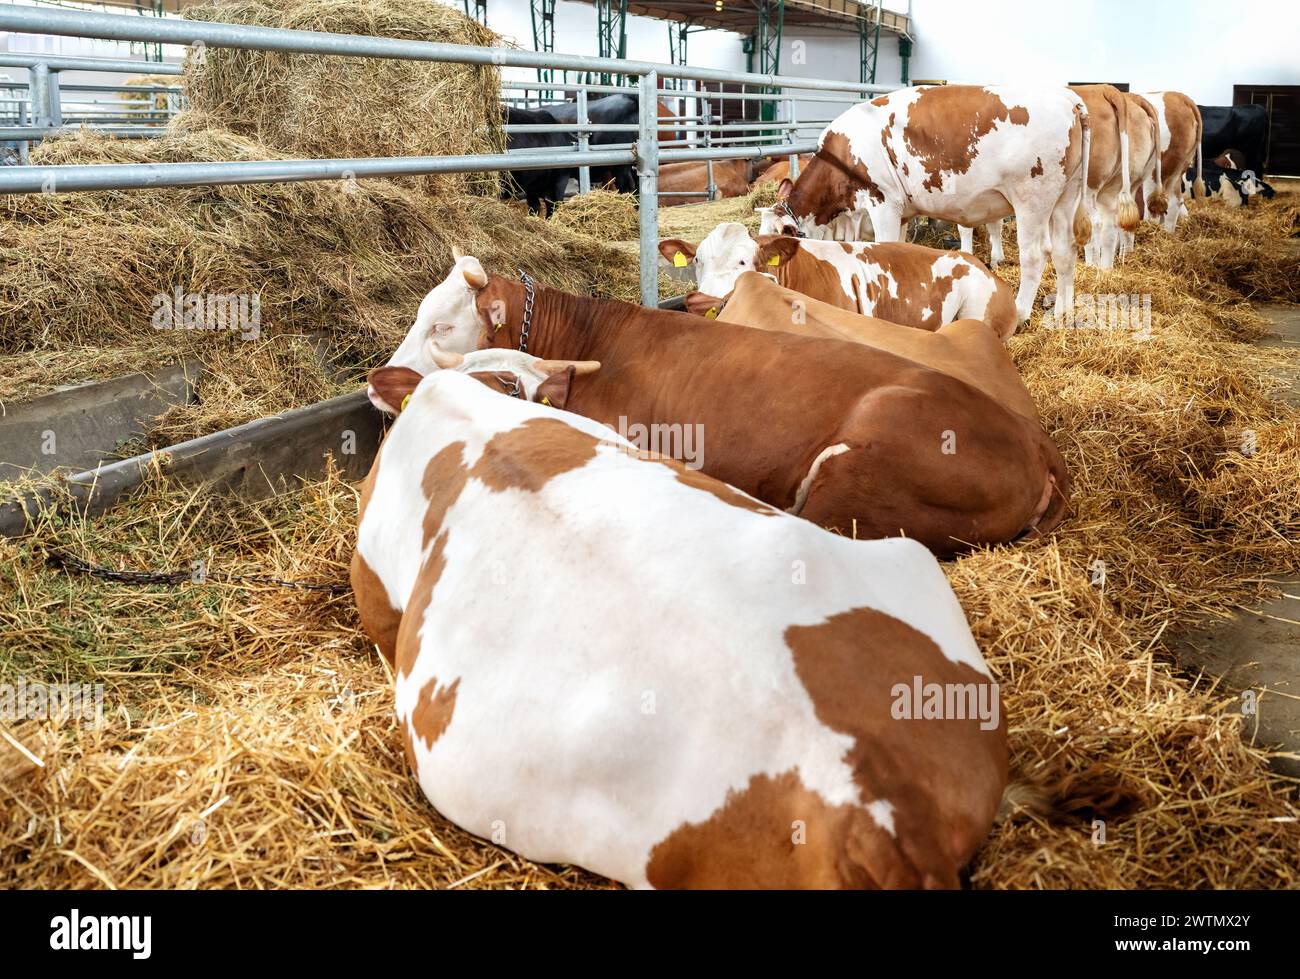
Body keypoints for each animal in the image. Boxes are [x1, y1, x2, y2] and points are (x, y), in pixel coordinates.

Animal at [774, 85, 1092, 325]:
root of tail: (1067, 96)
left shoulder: (883, 201)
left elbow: (880, 248)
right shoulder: (902, 212)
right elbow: (896, 251)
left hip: (1032, 199)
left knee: (1035, 255)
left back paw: (1023, 312)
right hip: (1066, 198)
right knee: (1065, 252)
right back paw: (1063, 312)